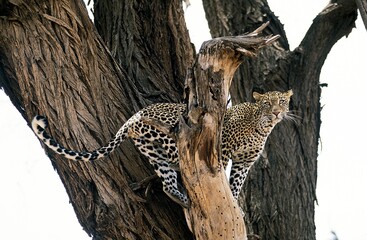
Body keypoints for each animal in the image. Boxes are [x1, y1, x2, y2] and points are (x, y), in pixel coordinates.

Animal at [33, 90, 294, 208]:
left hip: (151, 149)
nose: (276, 113)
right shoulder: (224, 149)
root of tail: (134, 117)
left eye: (282, 102)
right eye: (266, 103)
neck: (262, 127)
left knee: (167, 182)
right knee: (182, 166)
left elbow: (236, 183)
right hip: (172, 138)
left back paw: (182, 198)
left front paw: (234, 200)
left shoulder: (244, 162)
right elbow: (221, 171)